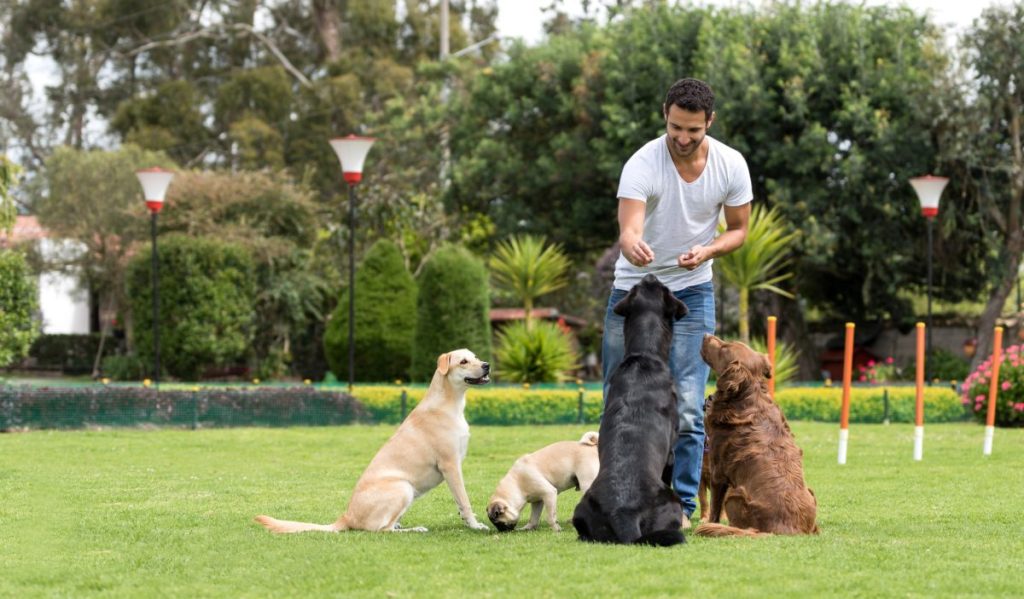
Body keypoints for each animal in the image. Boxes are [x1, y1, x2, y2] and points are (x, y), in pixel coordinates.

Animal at [260, 350, 491, 532]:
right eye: (463, 361)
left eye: (476, 357)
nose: (486, 365)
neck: (448, 403)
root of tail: (347, 517)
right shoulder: (450, 465)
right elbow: (464, 500)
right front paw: (475, 525)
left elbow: (460, 502)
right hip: (404, 487)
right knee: (383, 529)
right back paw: (413, 529)